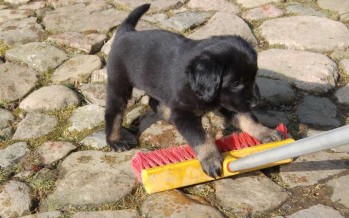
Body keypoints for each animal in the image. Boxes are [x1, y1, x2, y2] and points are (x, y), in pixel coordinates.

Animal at [104, 4, 282, 178]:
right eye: (235, 83)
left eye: (253, 77)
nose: (255, 103)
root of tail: (126, 32)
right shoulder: (186, 113)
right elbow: (200, 137)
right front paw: (211, 159)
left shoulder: (229, 103)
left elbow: (247, 118)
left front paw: (266, 132)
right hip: (119, 83)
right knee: (114, 111)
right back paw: (115, 140)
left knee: (154, 102)